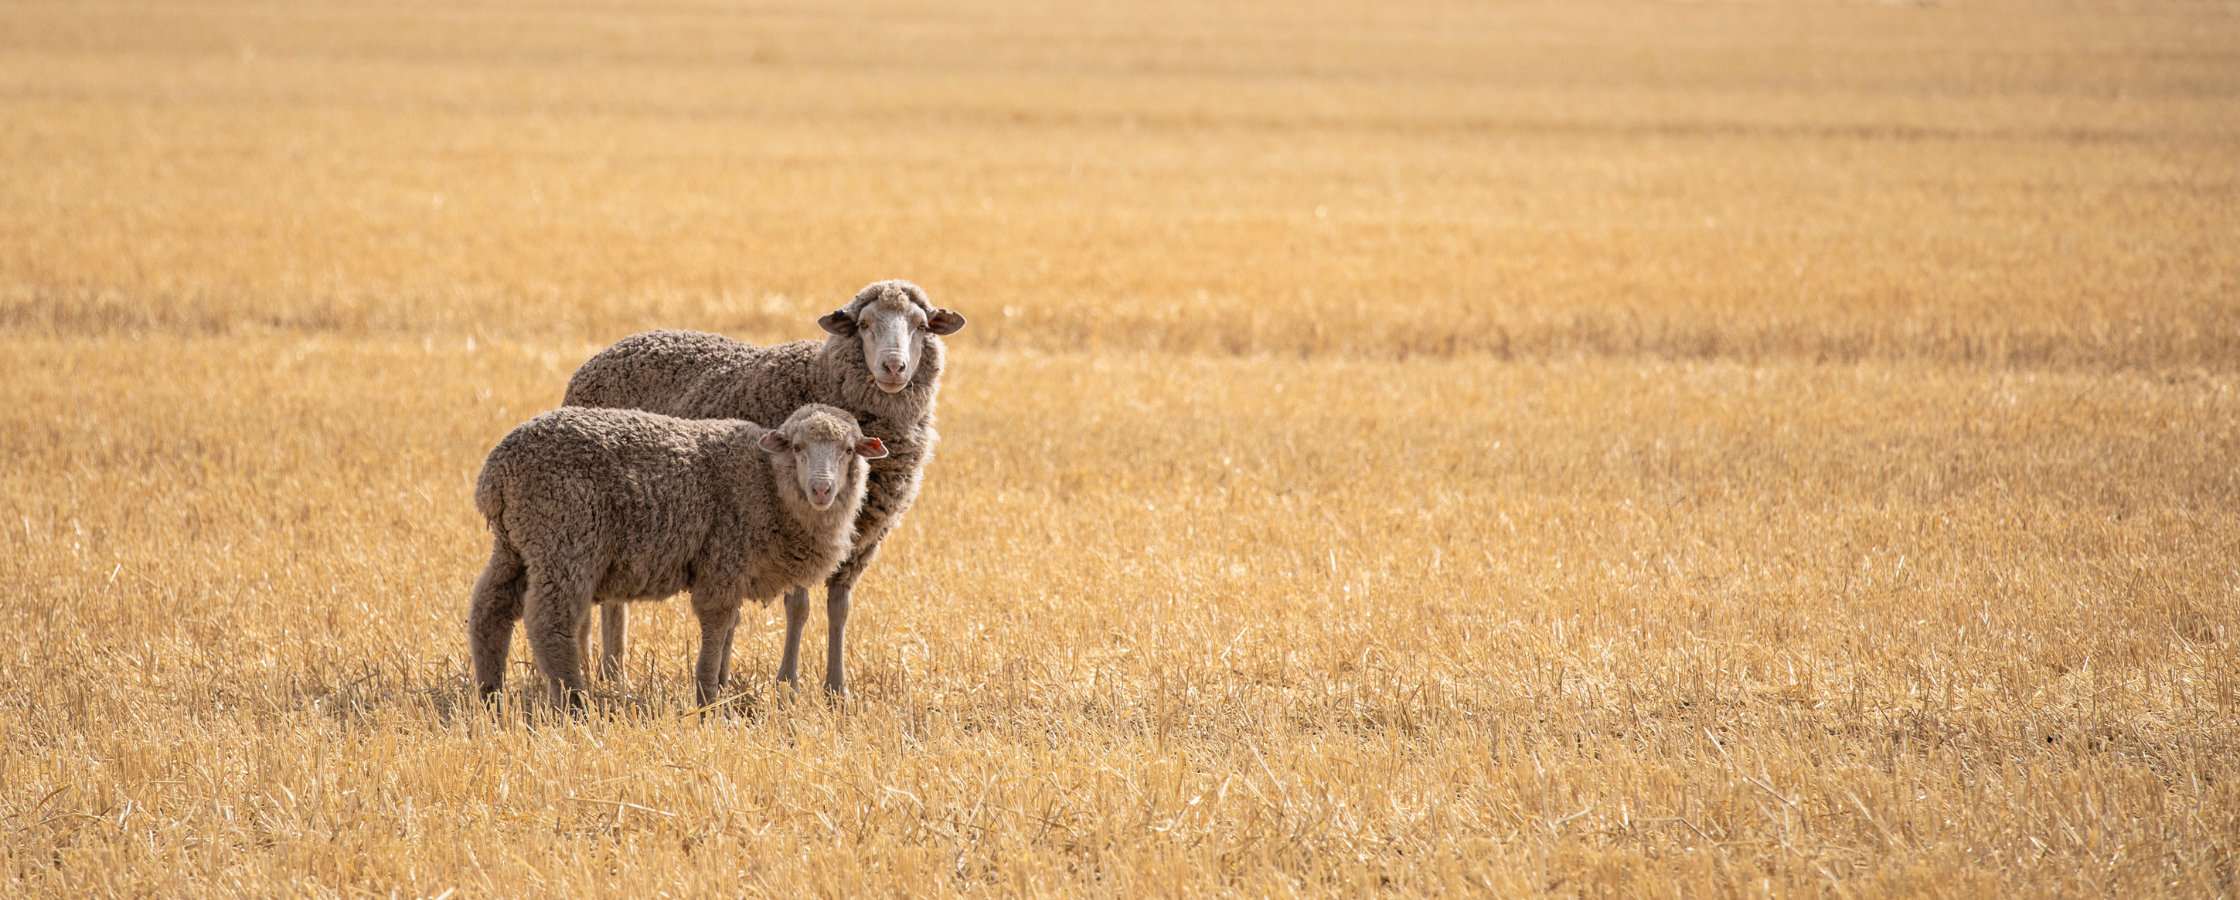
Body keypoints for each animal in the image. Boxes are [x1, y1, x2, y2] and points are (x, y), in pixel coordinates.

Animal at [466, 403, 888, 710]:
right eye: (798, 448)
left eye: (848, 451)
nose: (822, 489)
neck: (768, 485)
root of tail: (495, 472)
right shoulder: (721, 562)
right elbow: (716, 627)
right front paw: (708, 701)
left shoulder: (733, 572)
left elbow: (729, 629)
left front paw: (720, 687)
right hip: (563, 538)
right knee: (550, 623)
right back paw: (574, 703)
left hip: (517, 544)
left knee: (490, 609)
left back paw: (491, 694)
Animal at [562, 279, 965, 695]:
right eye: (864, 324)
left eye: (921, 326)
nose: (893, 367)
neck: (819, 378)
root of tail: (612, 349)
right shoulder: (790, 526)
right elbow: (798, 608)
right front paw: (788, 683)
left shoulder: (859, 541)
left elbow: (839, 608)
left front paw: (836, 689)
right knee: (610, 603)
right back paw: (610, 674)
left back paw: (612, 673)